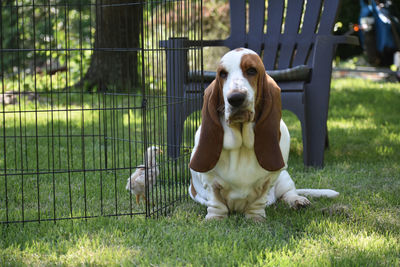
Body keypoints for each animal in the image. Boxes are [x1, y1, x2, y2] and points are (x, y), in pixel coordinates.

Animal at [189, 48, 340, 222]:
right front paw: (215, 219)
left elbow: (259, 199)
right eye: (222, 74)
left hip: (284, 176)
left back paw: (298, 201)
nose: (235, 98)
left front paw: (256, 219)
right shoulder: (210, 180)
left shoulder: (270, 178)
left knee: (288, 193)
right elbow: (216, 202)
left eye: (251, 70)